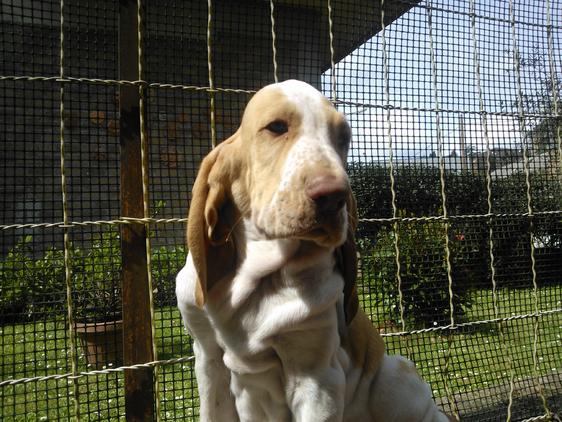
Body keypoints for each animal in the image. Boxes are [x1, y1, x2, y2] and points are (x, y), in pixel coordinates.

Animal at [176, 80, 456, 421]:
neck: (257, 279)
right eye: (276, 127)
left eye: (343, 137)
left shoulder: (315, 377)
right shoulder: (208, 359)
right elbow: (213, 408)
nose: (334, 196)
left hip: (396, 373)